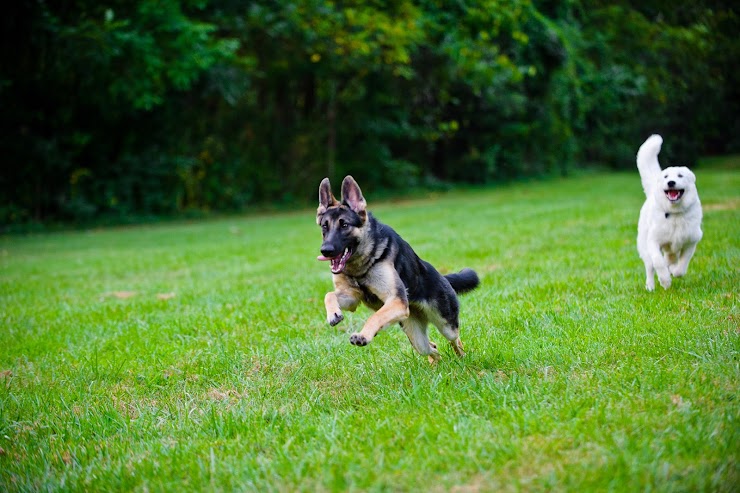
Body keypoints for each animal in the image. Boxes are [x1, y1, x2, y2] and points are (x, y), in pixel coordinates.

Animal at [316, 177, 480, 362]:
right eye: (324, 226)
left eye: (344, 225)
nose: (325, 250)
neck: (361, 265)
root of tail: (443, 278)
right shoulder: (351, 298)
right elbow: (329, 295)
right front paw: (333, 314)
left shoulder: (396, 301)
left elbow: (376, 316)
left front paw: (363, 335)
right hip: (416, 336)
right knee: (431, 347)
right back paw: (436, 364)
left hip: (445, 325)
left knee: (455, 339)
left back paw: (462, 358)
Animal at [636, 133, 700, 290]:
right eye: (666, 177)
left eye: (680, 175)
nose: (670, 182)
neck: (675, 213)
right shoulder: (653, 241)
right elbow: (658, 262)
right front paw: (665, 280)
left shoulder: (691, 242)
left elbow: (682, 266)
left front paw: (674, 271)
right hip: (644, 246)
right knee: (650, 266)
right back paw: (650, 286)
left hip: (672, 248)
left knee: (670, 258)